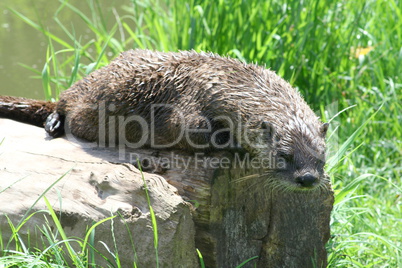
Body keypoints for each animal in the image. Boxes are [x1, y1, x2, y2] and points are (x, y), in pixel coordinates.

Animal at [0, 49, 330, 191]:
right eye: (284, 155)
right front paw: (233, 145)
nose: (308, 179)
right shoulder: (189, 108)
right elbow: (194, 131)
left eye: (321, 159)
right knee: (63, 101)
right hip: (88, 86)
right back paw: (54, 122)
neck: (226, 83)